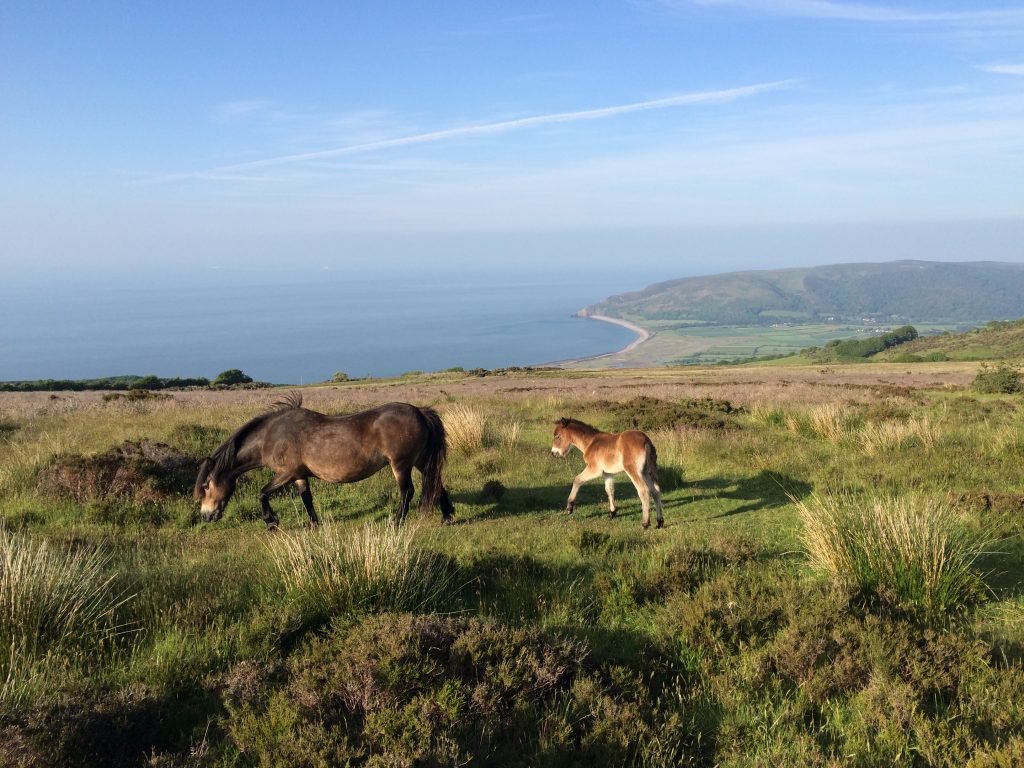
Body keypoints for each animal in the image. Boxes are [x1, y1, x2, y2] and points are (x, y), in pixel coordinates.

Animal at [193, 397, 454, 528]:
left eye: (205, 486)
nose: (206, 516)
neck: (271, 436)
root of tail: (419, 411)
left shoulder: (286, 473)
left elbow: (263, 493)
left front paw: (271, 522)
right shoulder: (299, 475)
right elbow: (306, 498)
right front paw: (314, 523)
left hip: (400, 464)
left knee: (407, 491)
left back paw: (397, 521)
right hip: (420, 461)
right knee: (436, 483)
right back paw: (447, 516)